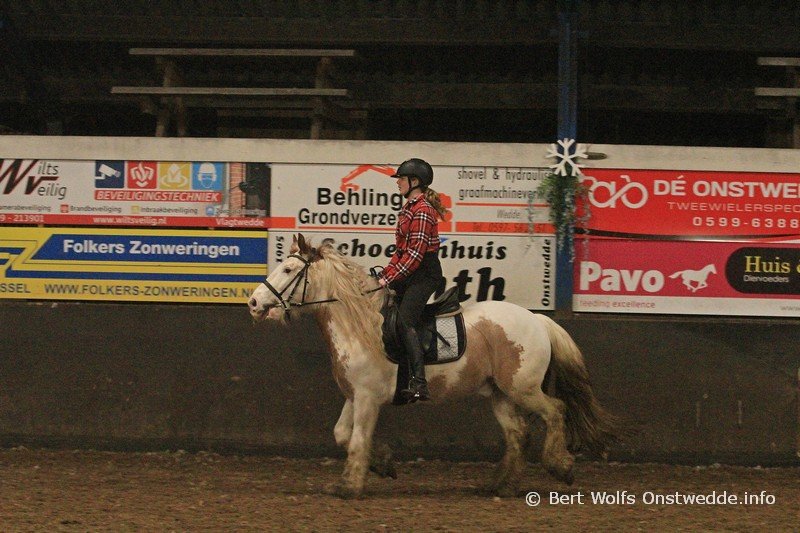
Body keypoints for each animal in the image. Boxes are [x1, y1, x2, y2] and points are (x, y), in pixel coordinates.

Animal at [247, 234, 617, 498]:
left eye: (289, 270)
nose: (253, 302)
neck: (360, 326)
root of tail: (538, 319)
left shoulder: (367, 398)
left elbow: (357, 440)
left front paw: (350, 487)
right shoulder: (354, 395)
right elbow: (342, 434)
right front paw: (383, 464)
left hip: (522, 388)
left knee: (555, 411)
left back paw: (560, 467)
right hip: (500, 394)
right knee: (518, 434)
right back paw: (501, 486)